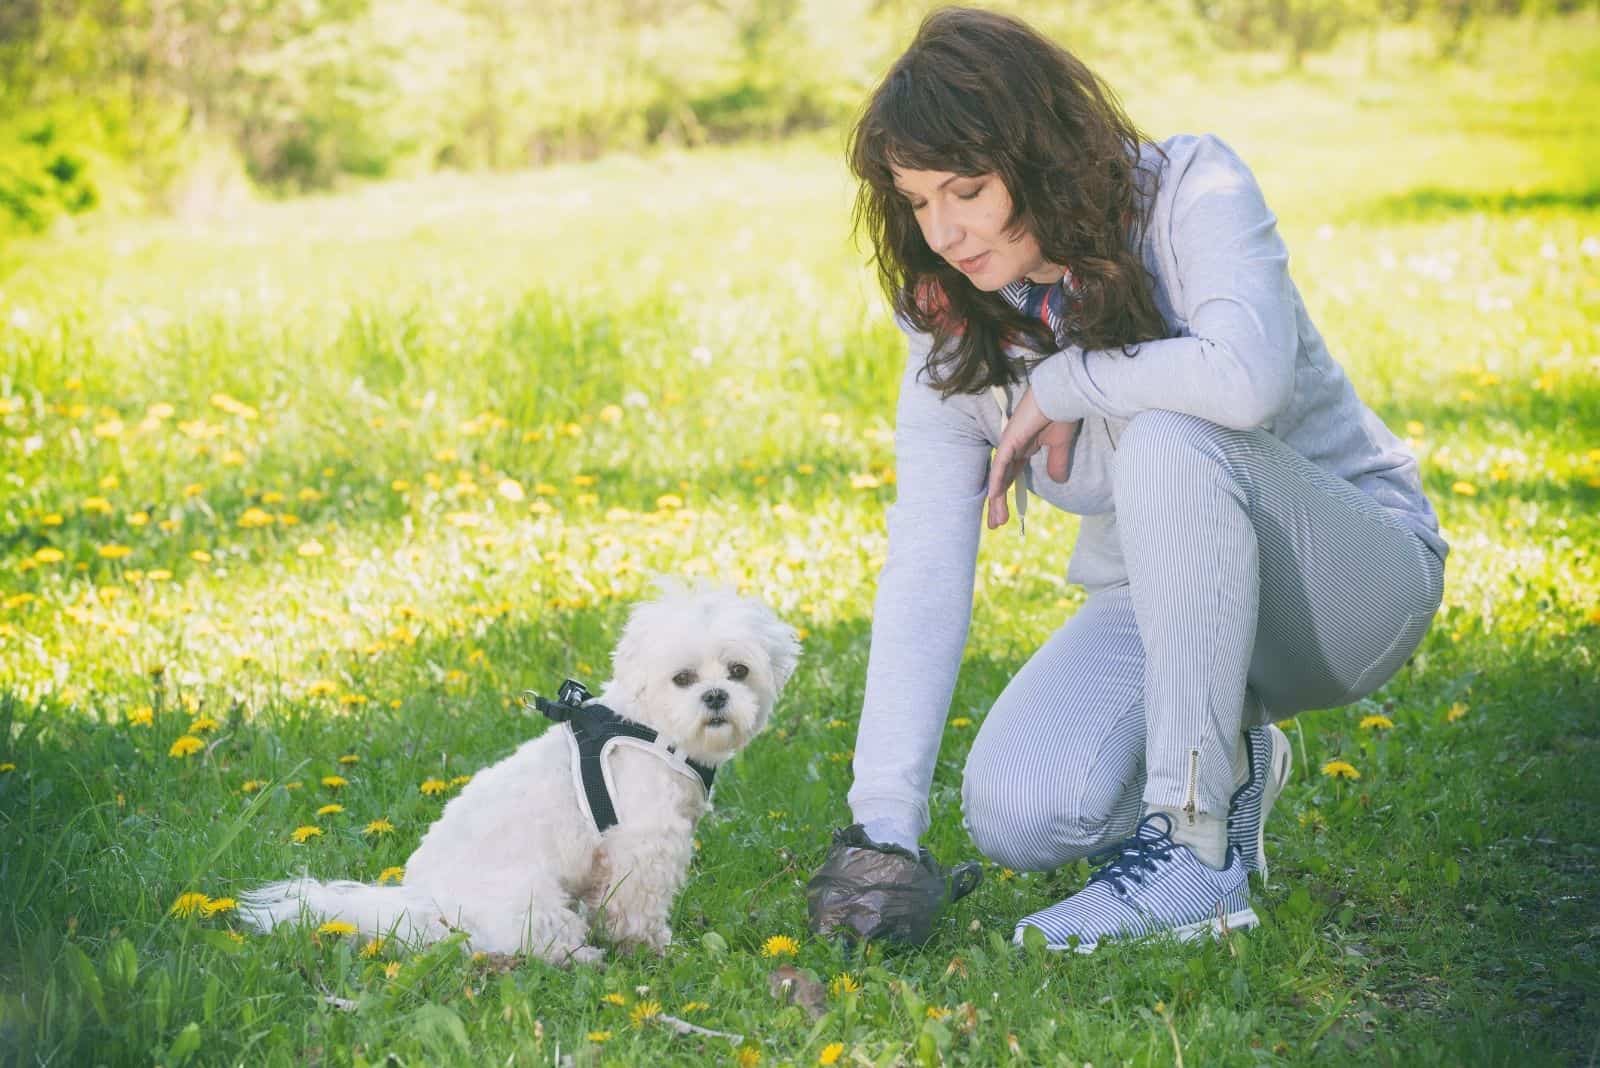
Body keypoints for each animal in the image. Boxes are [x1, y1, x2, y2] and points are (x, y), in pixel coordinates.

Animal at [238, 588, 800, 965]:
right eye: (683, 678)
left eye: (738, 671)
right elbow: (637, 906)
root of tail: (421, 904)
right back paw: (579, 956)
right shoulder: (644, 845)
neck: (653, 727)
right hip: (532, 901)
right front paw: (649, 946)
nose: (715, 696)